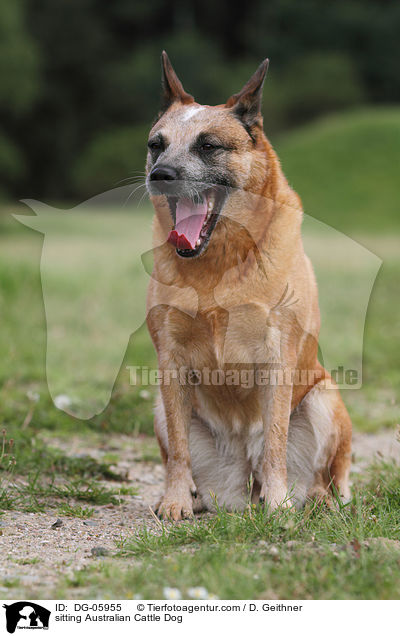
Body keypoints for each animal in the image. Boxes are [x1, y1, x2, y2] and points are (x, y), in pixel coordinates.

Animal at [145, 51, 352, 520]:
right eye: (156, 144)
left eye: (207, 146)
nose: (160, 174)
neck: (217, 266)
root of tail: (244, 471)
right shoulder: (171, 361)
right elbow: (179, 450)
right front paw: (175, 500)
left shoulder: (278, 358)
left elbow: (275, 442)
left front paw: (279, 506)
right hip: (161, 409)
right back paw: (193, 496)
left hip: (325, 397)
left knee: (328, 476)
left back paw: (312, 499)